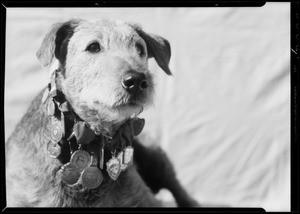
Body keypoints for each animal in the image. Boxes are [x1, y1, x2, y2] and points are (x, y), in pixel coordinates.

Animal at [5, 18, 199, 207]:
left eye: (140, 48)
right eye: (93, 46)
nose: (137, 80)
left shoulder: (144, 200)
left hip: (156, 157)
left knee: (178, 189)